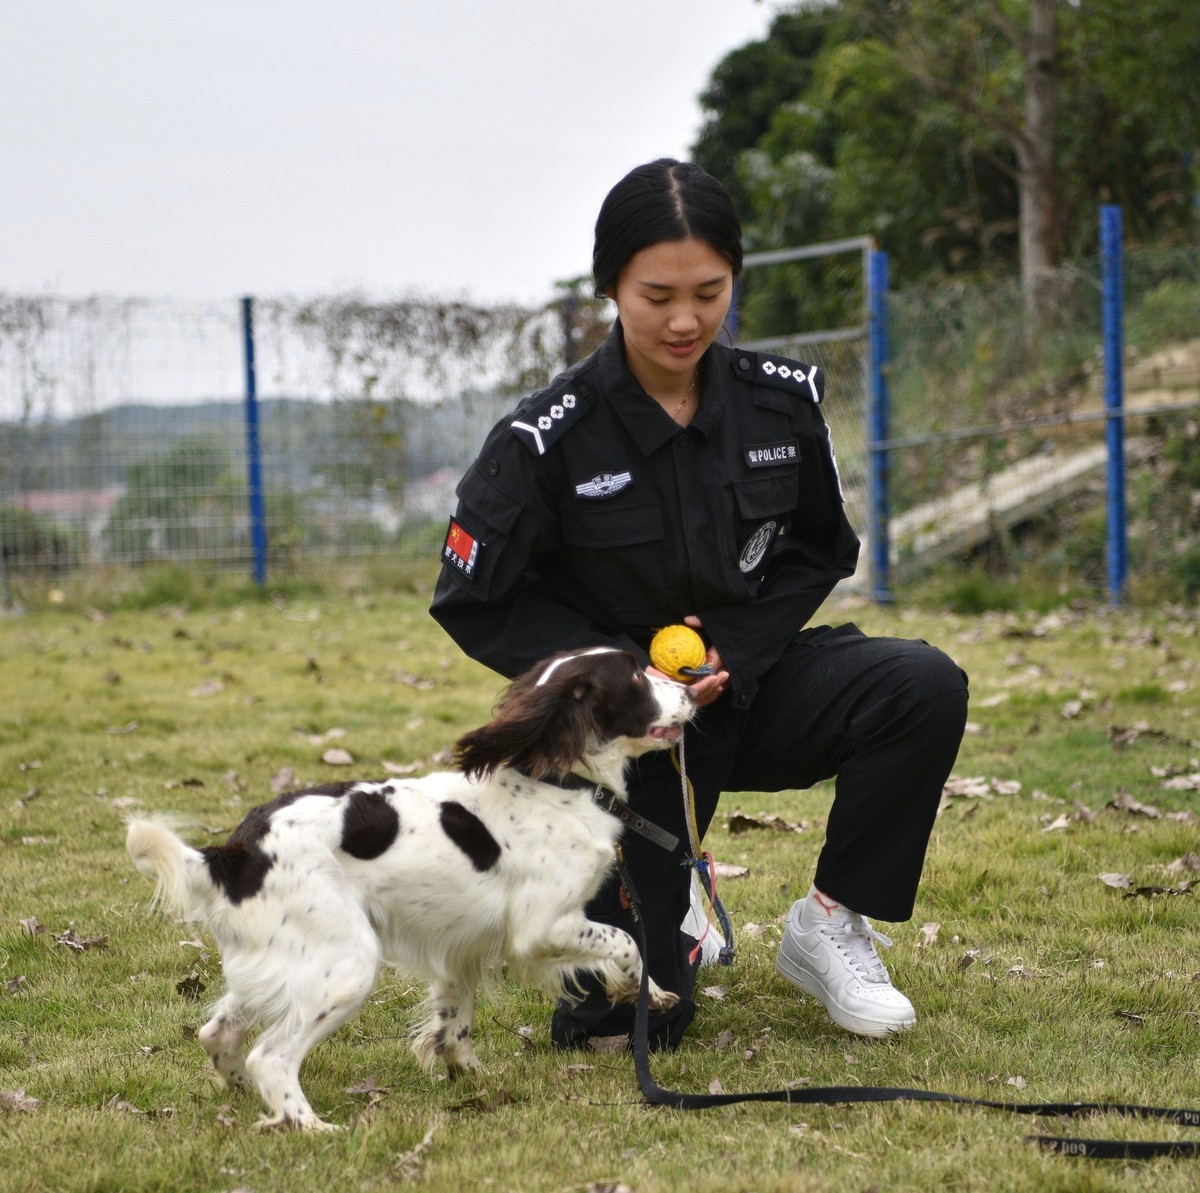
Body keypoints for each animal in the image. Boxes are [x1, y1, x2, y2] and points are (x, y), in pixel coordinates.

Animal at [125, 648, 691, 1128]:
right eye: (636, 676)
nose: (693, 687)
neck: (555, 781)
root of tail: (235, 852)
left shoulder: (460, 946)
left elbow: (454, 1022)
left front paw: (471, 1078)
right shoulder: (541, 928)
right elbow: (626, 941)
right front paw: (648, 992)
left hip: (279, 959)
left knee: (217, 1031)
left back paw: (244, 1092)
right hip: (345, 964)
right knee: (272, 1055)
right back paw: (310, 1126)